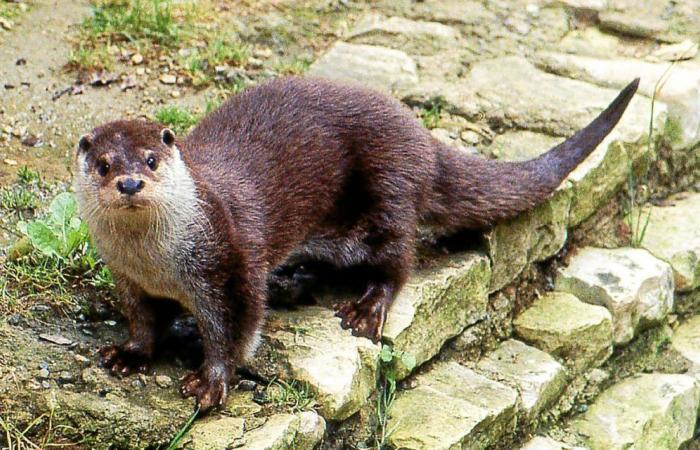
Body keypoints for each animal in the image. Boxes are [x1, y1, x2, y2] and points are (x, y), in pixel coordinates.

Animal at [75, 76, 640, 412]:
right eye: (104, 164)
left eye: (151, 159)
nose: (129, 182)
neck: (159, 264)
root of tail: (419, 136)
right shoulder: (129, 279)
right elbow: (143, 323)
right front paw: (129, 354)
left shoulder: (228, 268)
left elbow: (233, 332)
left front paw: (211, 382)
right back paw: (294, 280)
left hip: (385, 195)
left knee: (399, 260)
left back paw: (368, 307)